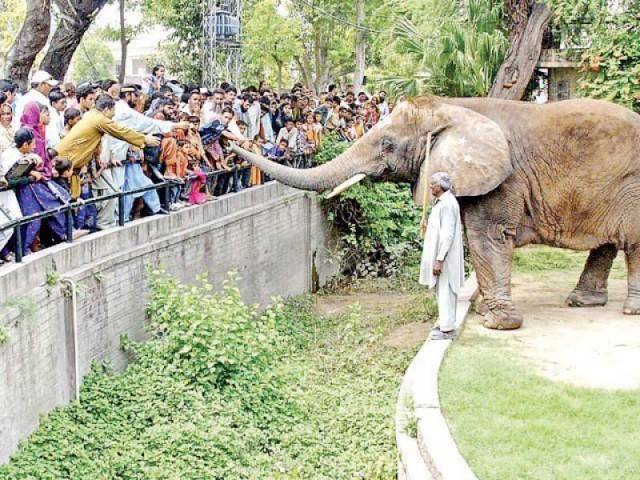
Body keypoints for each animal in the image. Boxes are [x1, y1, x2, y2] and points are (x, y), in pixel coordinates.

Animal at [232, 96, 640, 330]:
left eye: (387, 143)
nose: (230, 142)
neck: (451, 107)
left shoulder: (503, 179)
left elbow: (487, 237)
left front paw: (496, 323)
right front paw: (483, 312)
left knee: (633, 244)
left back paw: (630, 311)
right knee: (607, 243)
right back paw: (581, 302)